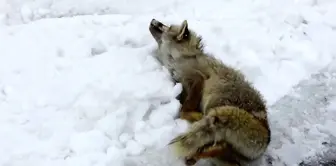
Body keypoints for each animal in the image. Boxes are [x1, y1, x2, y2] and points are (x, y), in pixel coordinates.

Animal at [148, 18, 272, 166]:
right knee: (225, 152)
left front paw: (194, 114)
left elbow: (183, 110)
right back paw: (198, 155)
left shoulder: (197, 79)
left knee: (218, 142)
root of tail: (267, 137)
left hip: (215, 103)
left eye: (166, 26)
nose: (153, 20)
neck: (181, 59)